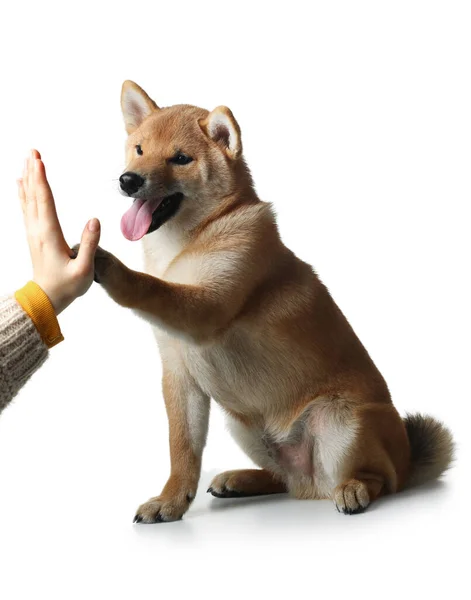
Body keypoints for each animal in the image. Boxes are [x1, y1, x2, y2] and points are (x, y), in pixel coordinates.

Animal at [90, 81, 456, 524]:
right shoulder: (179, 375)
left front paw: (107, 264)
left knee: (381, 479)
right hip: (245, 425)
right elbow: (183, 450)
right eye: (140, 149)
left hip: (341, 421)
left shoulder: (207, 308)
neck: (190, 242)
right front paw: (171, 501)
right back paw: (243, 480)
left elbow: (152, 287)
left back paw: (354, 489)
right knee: (286, 479)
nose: (129, 180)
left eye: (180, 159)